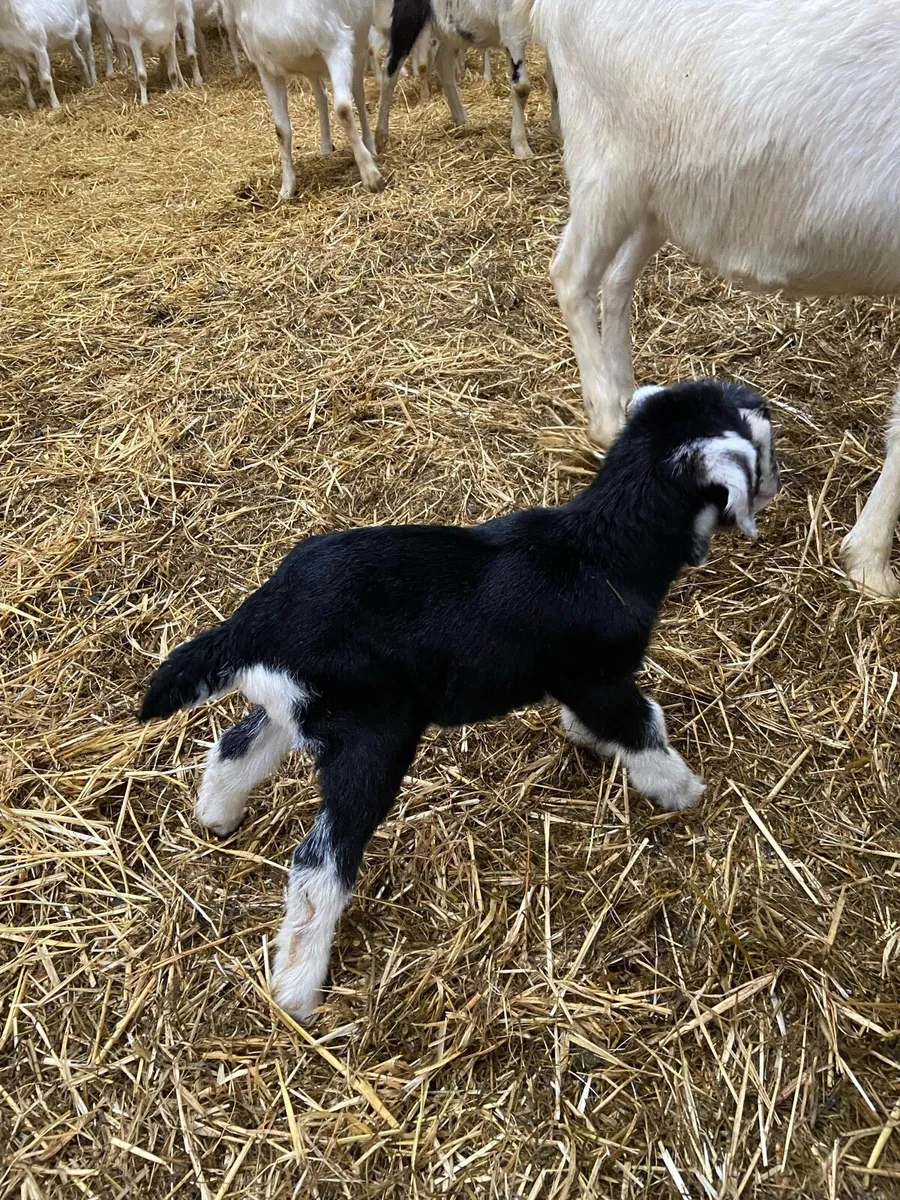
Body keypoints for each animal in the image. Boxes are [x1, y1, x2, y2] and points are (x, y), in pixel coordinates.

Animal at [139, 379, 780, 1021]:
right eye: (759, 443)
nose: (774, 483)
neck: (603, 547)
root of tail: (256, 624)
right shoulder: (595, 676)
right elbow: (642, 725)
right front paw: (682, 791)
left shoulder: (577, 682)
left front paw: (588, 740)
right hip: (373, 737)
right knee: (319, 864)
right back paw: (296, 990)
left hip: (304, 709)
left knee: (234, 747)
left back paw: (216, 816)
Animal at [223, 0, 382, 198]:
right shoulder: (266, 69)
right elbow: (281, 130)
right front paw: (287, 187)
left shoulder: (337, 43)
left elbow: (343, 110)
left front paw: (371, 176)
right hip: (311, 66)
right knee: (321, 96)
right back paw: (326, 148)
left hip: (358, 47)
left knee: (358, 96)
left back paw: (370, 146)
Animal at [374, 0, 539, 158]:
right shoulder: (512, 26)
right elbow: (522, 88)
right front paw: (521, 147)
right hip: (409, 14)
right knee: (390, 66)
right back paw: (381, 136)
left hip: (452, 25)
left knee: (443, 62)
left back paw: (462, 120)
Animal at [525, 0, 900, 597]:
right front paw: (871, 563)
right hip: (608, 161)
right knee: (573, 274)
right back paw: (604, 417)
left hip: (660, 193)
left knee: (617, 280)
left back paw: (628, 398)